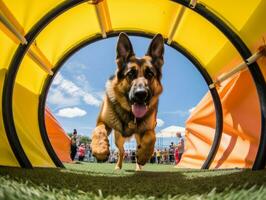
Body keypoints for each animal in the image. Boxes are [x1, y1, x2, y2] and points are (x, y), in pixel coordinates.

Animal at [90, 32, 163, 170]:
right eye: (130, 74)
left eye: (150, 74)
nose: (141, 94)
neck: (131, 115)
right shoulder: (102, 121)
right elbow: (99, 131)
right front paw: (100, 149)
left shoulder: (149, 129)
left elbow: (152, 137)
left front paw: (144, 155)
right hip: (118, 138)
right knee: (122, 151)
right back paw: (118, 166)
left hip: (137, 137)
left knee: (136, 148)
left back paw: (139, 166)